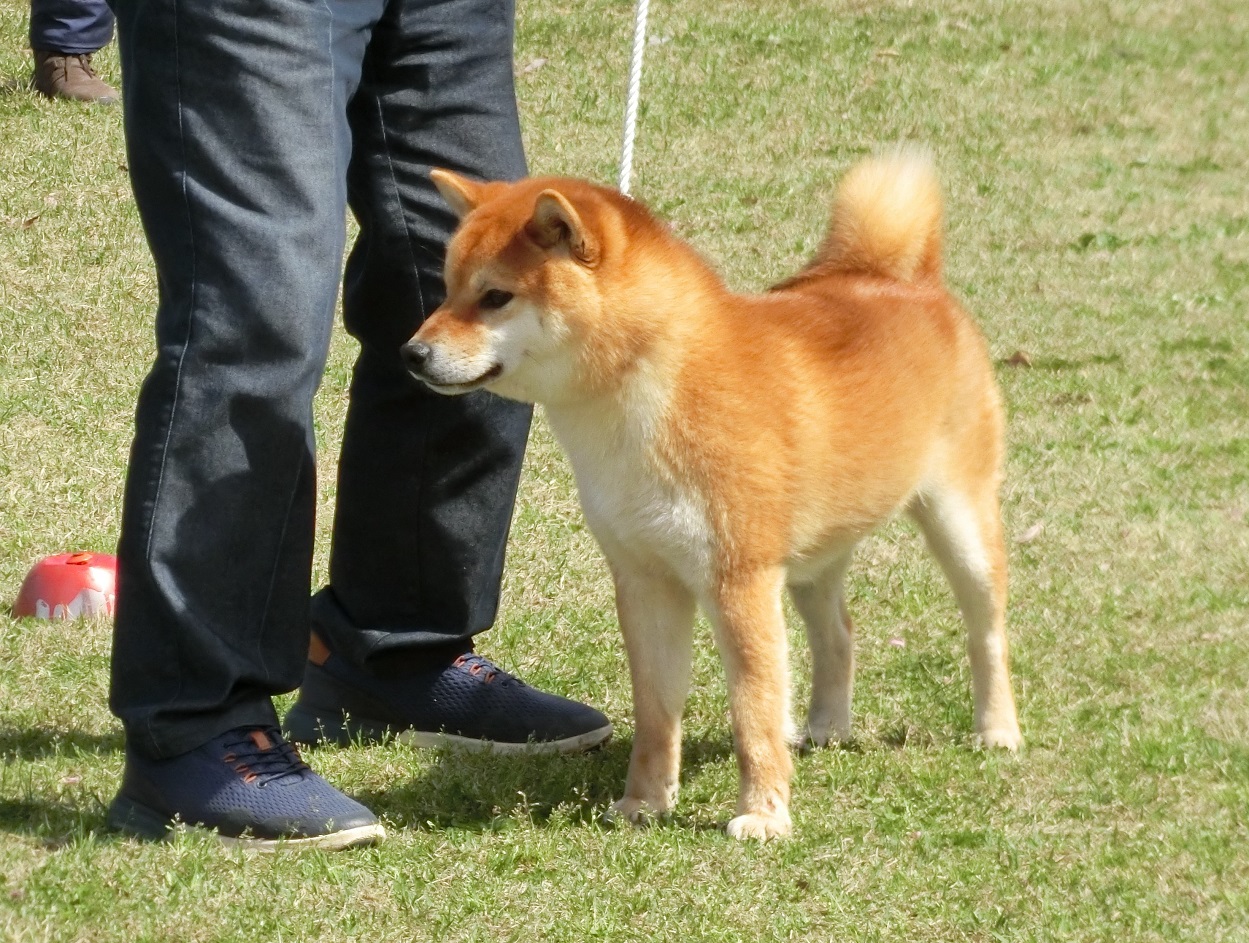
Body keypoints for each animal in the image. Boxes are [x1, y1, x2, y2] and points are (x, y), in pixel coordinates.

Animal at [403, 152, 1022, 840]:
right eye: (448, 289)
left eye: (494, 297)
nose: (412, 353)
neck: (646, 395)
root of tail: (905, 281)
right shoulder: (645, 580)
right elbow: (655, 710)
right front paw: (644, 803)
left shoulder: (738, 580)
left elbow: (753, 709)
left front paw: (764, 813)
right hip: (812, 560)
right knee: (838, 634)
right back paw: (827, 728)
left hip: (958, 524)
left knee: (987, 633)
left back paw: (997, 729)